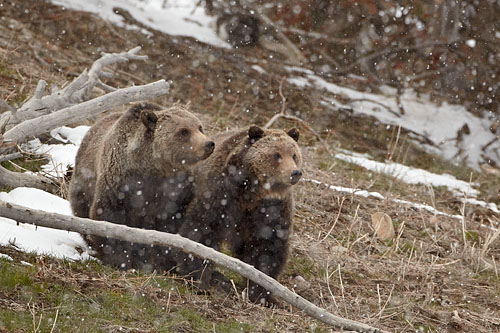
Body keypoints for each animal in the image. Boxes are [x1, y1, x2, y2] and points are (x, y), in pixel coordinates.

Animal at [69, 102, 215, 272]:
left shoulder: (177, 189)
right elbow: (109, 216)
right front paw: (120, 260)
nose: (209, 144)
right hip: (84, 181)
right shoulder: (120, 183)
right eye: (184, 131)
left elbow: (167, 226)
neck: (154, 168)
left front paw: (160, 262)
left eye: (199, 127)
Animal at [180, 124, 304, 304]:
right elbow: (202, 231)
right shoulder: (219, 193)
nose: (295, 173)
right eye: (277, 155)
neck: (251, 191)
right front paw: (199, 280)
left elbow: (267, 246)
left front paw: (264, 295)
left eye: (294, 155)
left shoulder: (271, 209)